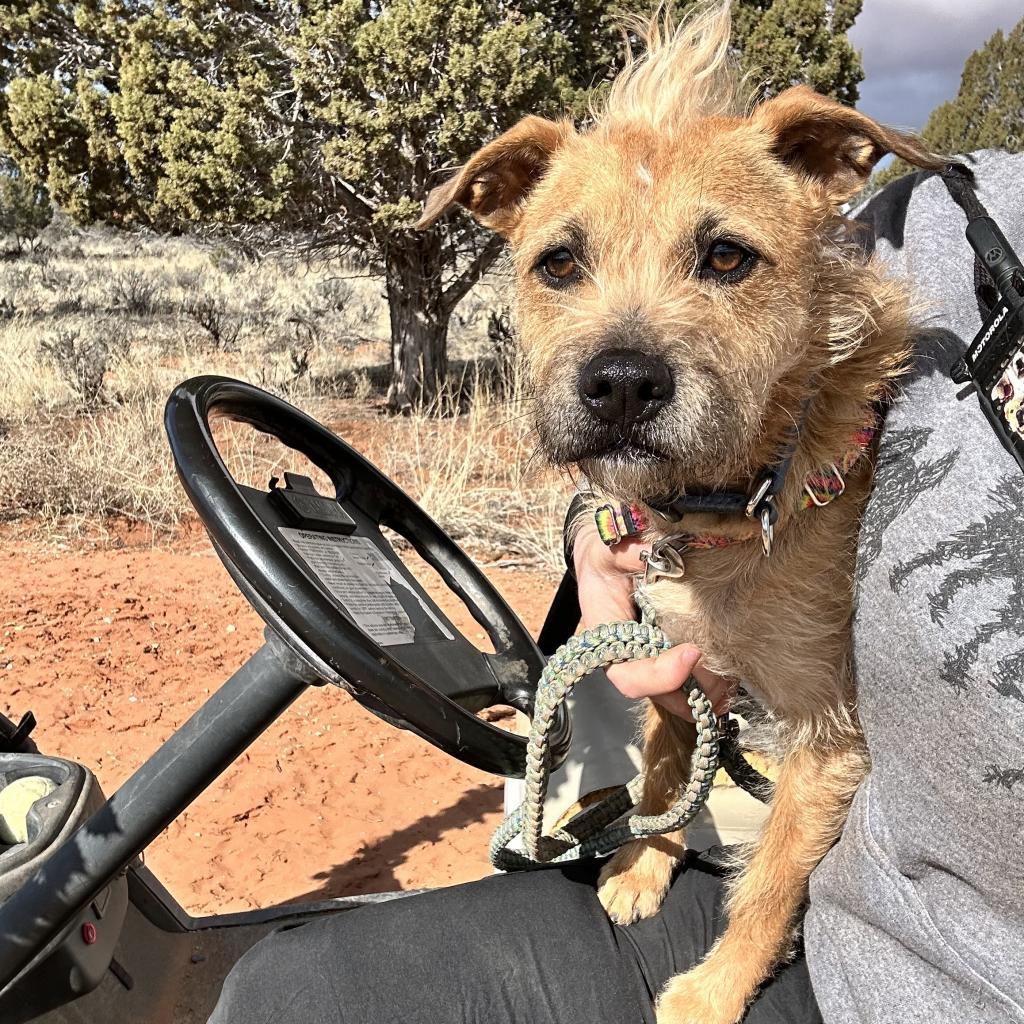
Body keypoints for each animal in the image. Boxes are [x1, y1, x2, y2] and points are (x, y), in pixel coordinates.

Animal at [419, 4, 946, 1019]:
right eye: (559, 263)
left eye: (728, 256)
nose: (620, 382)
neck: (737, 504)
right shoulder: (676, 661)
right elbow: (668, 765)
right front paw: (641, 865)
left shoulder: (827, 739)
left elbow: (774, 880)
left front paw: (714, 990)